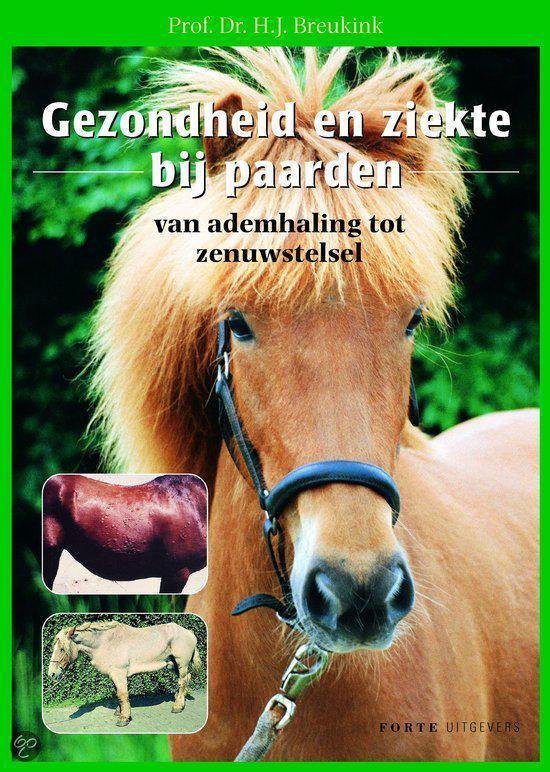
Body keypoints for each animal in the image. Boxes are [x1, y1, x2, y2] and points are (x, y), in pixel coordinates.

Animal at [47, 620, 202, 726]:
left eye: (62, 649)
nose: (51, 674)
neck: (105, 643)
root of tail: (190, 633)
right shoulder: (114, 675)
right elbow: (118, 693)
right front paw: (119, 711)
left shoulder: (119, 673)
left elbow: (122, 694)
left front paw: (124, 718)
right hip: (172, 664)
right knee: (186, 679)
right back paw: (179, 699)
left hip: (181, 664)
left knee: (182, 681)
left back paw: (177, 706)